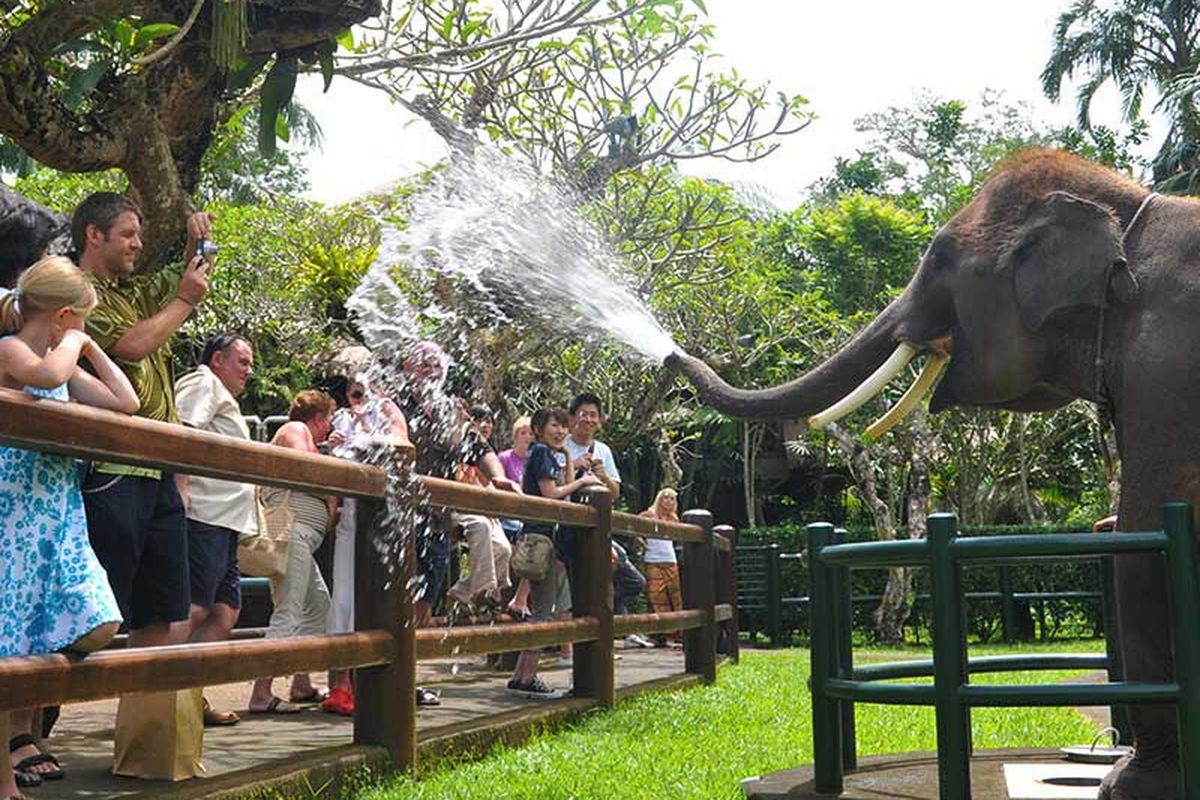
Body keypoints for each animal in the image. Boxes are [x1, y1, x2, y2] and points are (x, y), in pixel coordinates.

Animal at [667, 149, 1200, 799]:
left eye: (940, 257)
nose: (670, 354)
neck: (1130, 209)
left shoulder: (1163, 368)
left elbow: (1141, 531)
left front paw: (1125, 787)